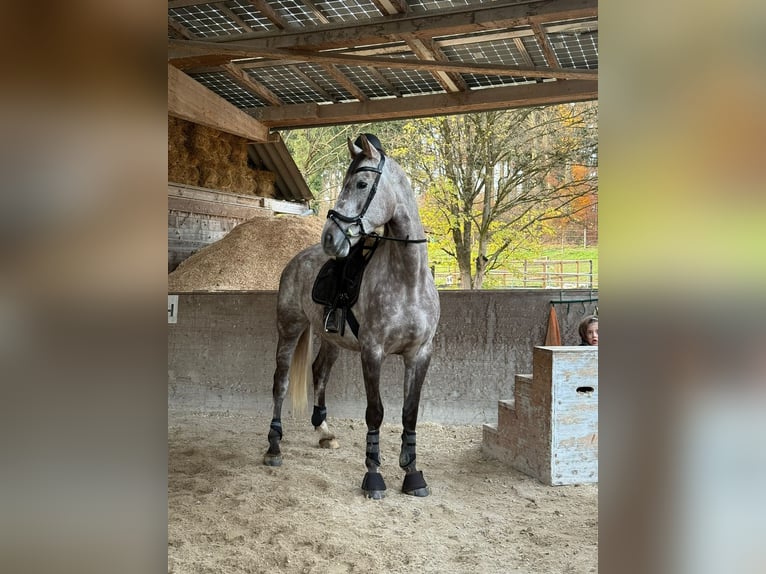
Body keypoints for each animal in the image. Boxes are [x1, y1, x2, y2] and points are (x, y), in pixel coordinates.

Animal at [263, 134, 441, 499]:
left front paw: (413, 474)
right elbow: (375, 412)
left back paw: (324, 432)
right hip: (289, 329)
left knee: (319, 372)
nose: (330, 238)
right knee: (280, 382)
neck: (408, 279)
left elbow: (409, 414)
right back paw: (274, 447)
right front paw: (373, 476)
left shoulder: (419, 354)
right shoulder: (372, 352)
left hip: (332, 339)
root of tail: (297, 260)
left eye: (360, 184)